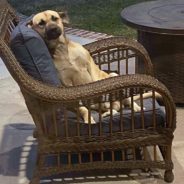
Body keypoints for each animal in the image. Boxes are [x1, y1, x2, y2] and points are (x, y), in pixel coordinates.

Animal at [28, 10, 162, 124]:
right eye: (41, 23)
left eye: (54, 18)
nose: (53, 29)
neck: (62, 51)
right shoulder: (66, 83)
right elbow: (81, 107)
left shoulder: (89, 65)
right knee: (113, 109)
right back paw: (106, 112)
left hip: (114, 75)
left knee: (128, 101)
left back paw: (136, 107)